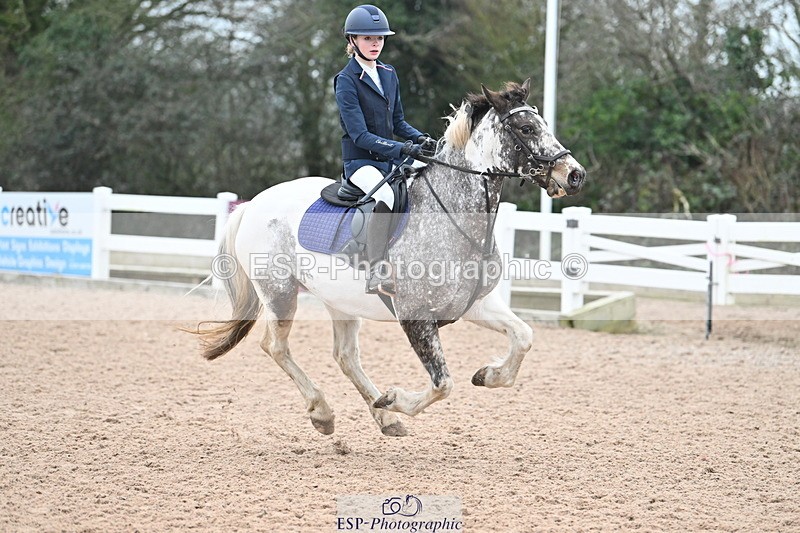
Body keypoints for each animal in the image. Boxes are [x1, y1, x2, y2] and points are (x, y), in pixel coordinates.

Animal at [193, 79, 586, 437]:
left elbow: (523, 336)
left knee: (345, 356)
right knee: (275, 346)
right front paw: (397, 399)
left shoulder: (474, 304)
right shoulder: (415, 317)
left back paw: (384, 417)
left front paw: (488, 375)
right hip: (279, 292)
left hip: (338, 300)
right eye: (526, 128)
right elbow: (444, 384)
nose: (575, 175)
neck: (454, 217)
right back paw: (325, 412)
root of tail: (253, 204)